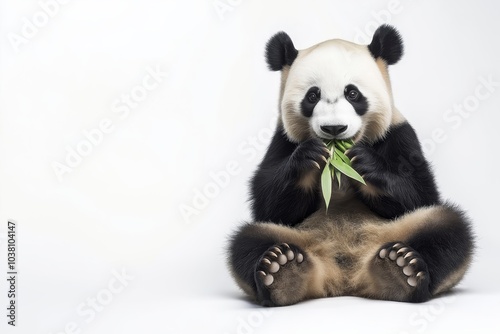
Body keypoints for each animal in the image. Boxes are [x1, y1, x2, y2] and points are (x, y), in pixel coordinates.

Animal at [229, 24, 474, 306]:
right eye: (312, 96)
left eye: (353, 93)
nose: (334, 128)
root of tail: (346, 276)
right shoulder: (283, 140)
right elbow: (270, 207)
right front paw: (310, 156)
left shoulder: (398, 133)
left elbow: (420, 195)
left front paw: (365, 163)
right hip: (296, 237)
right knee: (248, 240)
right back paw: (283, 272)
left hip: (398, 231)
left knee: (447, 229)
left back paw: (401, 270)